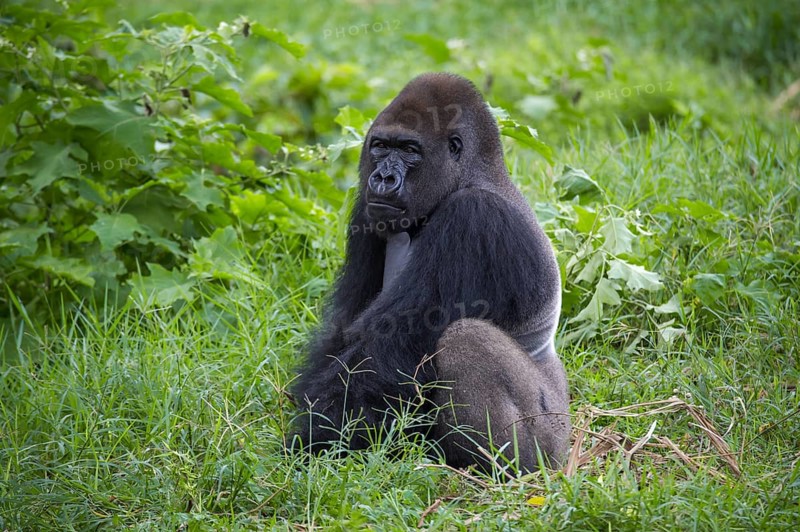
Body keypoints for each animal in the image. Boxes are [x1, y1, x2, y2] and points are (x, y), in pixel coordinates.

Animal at [290, 72, 569, 472]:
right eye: (380, 146)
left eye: (410, 150)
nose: (383, 178)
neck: (470, 177)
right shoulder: (367, 210)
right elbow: (347, 331)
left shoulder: (474, 216)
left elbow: (388, 348)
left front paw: (318, 441)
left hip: (551, 437)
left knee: (466, 339)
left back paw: (494, 465)